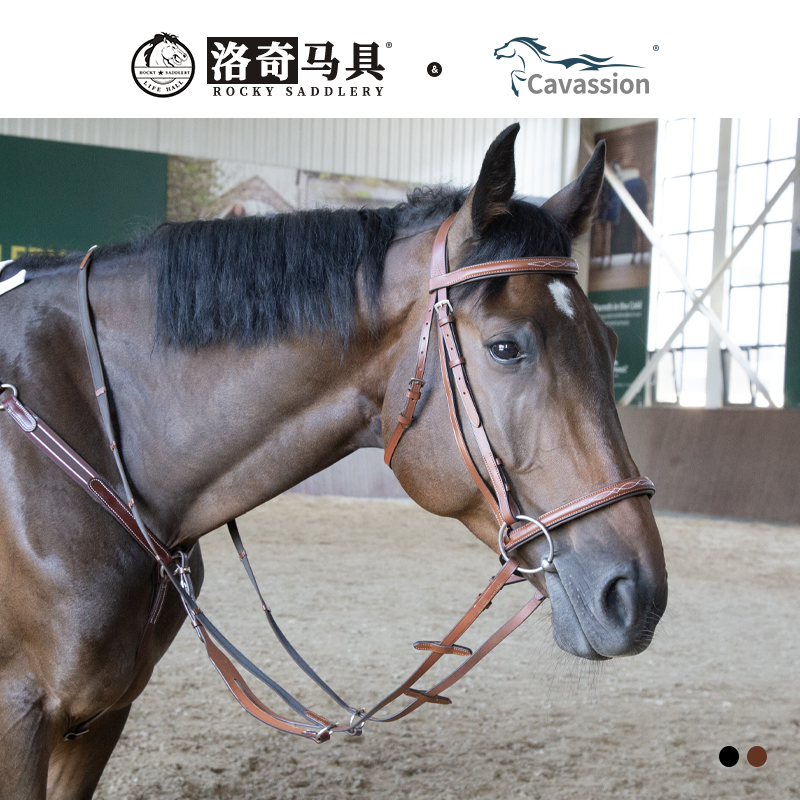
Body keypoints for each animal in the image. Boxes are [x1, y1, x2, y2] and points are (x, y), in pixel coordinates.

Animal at [0, 123, 667, 798]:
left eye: (610, 341)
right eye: (506, 348)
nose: (637, 594)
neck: (89, 429)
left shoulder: (104, 715)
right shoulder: (20, 715)